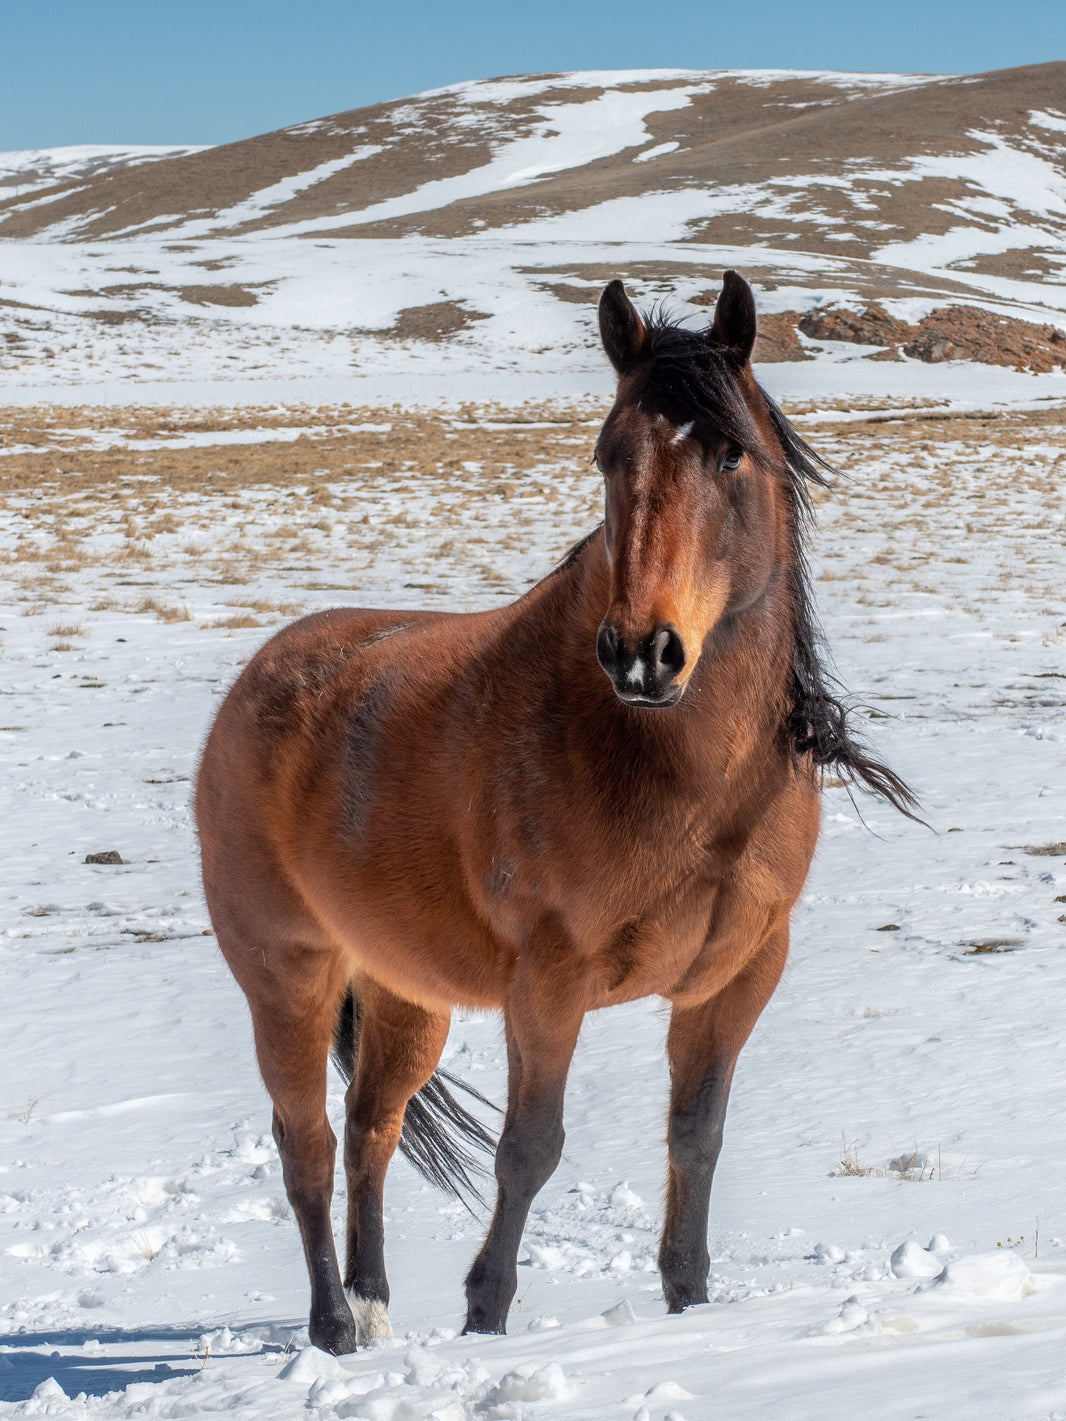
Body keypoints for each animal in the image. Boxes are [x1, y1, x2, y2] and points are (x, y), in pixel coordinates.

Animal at [195, 271, 915, 1354]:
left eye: (729, 452)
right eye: (609, 454)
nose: (642, 652)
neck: (678, 773)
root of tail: (256, 679)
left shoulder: (734, 978)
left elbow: (696, 1139)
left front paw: (690, 1306)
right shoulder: (550, 982)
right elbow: (528, 1148)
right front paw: (486, 1315)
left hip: (405, 991)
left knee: (370, 1128)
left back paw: (372, 1306)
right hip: (289, 976)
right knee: (307, 1144)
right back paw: (333, 1328)